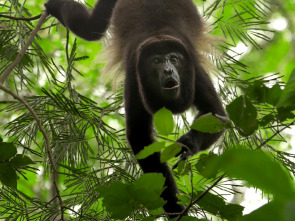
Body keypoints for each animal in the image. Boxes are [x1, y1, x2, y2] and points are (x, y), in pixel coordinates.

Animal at [44, 0, 227, 218]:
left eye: (174, 59)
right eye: (156, 61)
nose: (168, 70)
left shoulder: (195, 72)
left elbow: (217, 115)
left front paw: (188, 144)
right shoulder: (134, 75)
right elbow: (140, 137)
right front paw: (175, 209)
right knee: (91, 29)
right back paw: (58, 6)